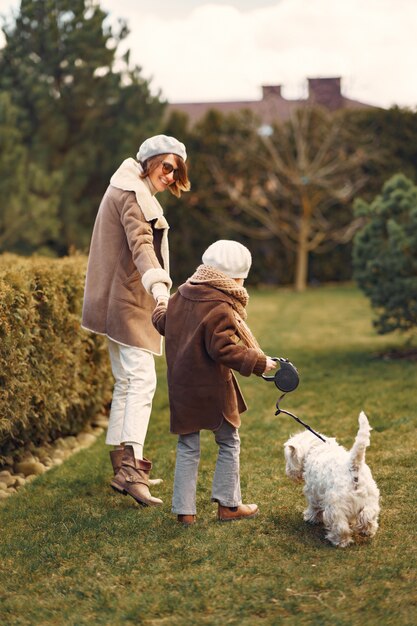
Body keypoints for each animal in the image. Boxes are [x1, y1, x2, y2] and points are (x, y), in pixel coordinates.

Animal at [284, 412, 378, 544]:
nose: (288, 472)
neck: (316, 447)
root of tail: (354, 467)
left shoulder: (312, 492)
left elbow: (314, 507)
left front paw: (310, 518)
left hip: (335, 507)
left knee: (340, 526)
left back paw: (338, 540)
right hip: (370, 500)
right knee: (367, 517)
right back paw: (366, 532)